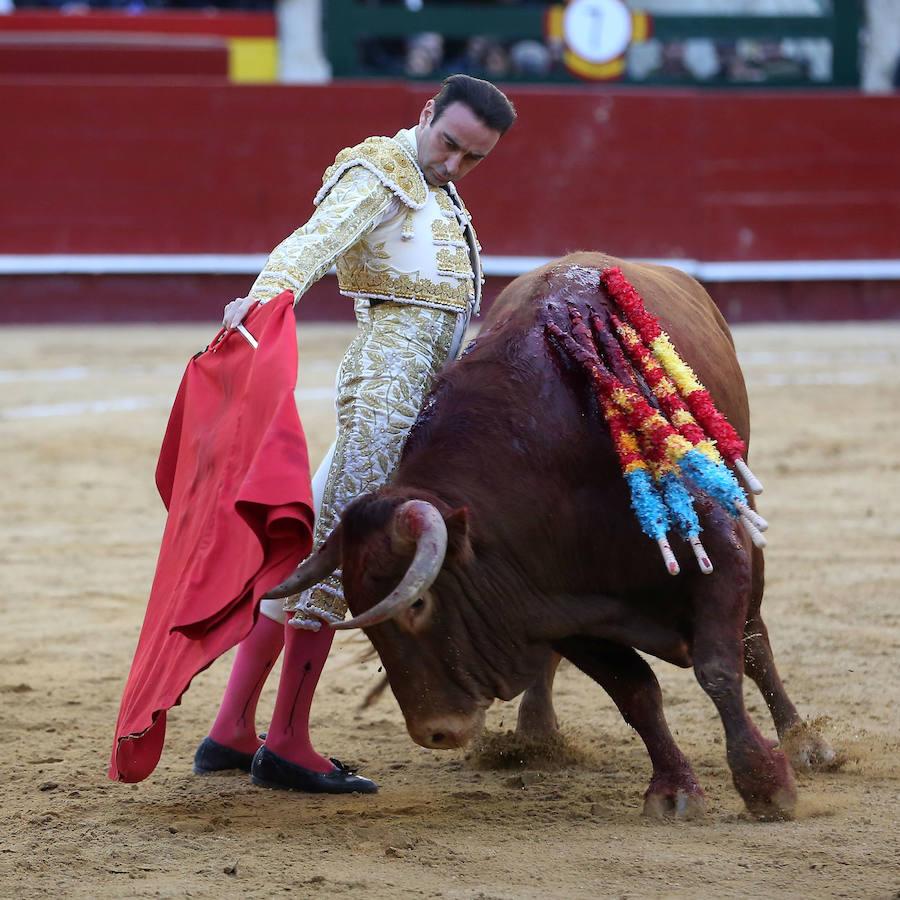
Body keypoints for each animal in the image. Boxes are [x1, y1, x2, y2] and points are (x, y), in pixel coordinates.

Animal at [268, 253, 836, 824]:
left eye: (419, 604)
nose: (435, 731)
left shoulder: (718, 553)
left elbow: (721, 667)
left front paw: (766, 783)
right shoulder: (551, 602)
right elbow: (635, 692)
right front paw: (674, 789)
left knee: (755, 640)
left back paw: (803, 743)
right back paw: (535, 735)